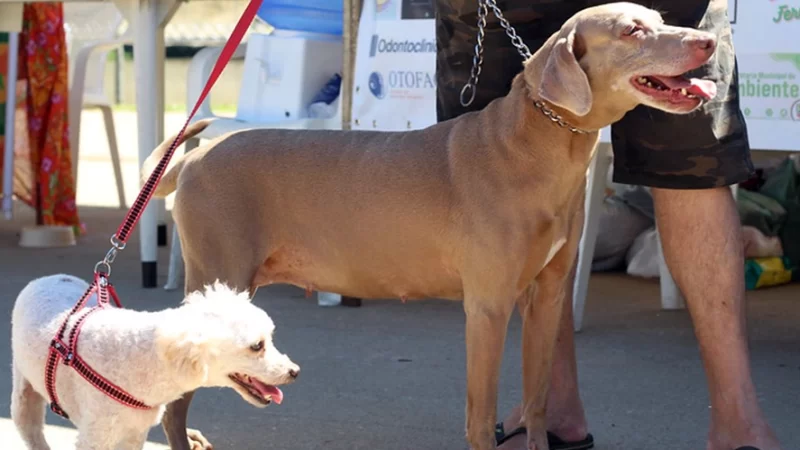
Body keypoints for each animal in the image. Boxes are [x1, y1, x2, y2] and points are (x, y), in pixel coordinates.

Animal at [11, 274, 300, 450]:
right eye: (257, 346)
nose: (295, 371)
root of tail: (46, 279)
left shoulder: (134, 433)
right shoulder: (95, 437)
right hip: (23, 394)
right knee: (31, 428)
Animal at [142, 2, 720, 446]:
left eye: (660, 18)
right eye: (632, 30)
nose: (709, 41)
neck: (536, 146)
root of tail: (194, 157)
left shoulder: (548, 294)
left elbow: (536, 401)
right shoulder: (487, 304)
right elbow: (480, 414)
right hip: (220, 270)